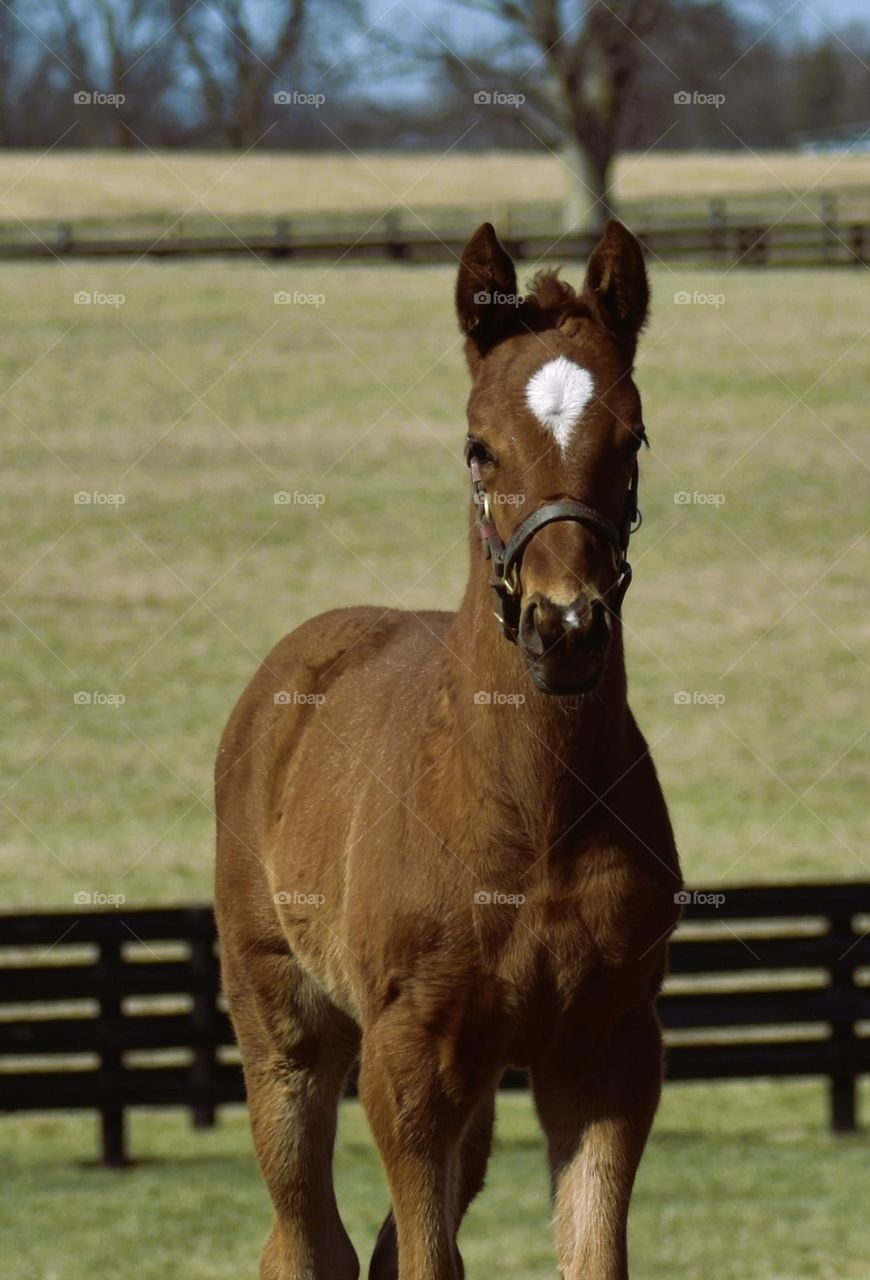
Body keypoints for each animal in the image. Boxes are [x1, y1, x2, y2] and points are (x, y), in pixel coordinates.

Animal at [215, 218, 683, 1280]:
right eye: (479, 448)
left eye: (630, 440)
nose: (565, 629)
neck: (528, 811)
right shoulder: (407, 1060)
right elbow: (425, 1260)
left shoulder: (608, 1052)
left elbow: (586, 1254)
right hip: (283, 1033)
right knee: (303, 1237)